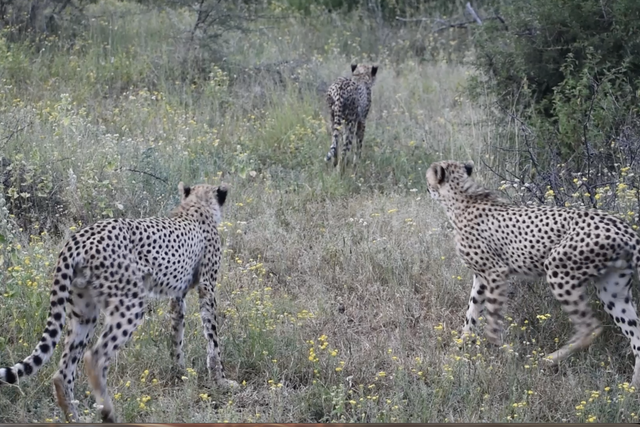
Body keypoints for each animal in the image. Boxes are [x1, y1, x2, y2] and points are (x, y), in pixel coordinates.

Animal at [0, 182, 237, 422]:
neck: (196, 205)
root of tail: (79, 237)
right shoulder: (207, 287)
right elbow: (213, 338)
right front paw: (221, 381)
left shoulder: (177, 296)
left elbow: (177, 333)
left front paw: (179, 370)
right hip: (130, 304)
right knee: (94, 359)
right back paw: (108, 413)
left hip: (84, 312)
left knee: (63, 372)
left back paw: (75, 418)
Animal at [426, 159, 640, 388]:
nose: (427, 187)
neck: (461, 198)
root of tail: (625, 227)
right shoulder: (482, 277)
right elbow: (471, 314)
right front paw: (460, 348)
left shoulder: (496, 272)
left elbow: (491, 320)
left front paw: (505, 352)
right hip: (613, 291)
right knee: (635, 334)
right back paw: (632, 387)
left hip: (558, 270)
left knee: (590, 327)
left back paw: (548, 360)